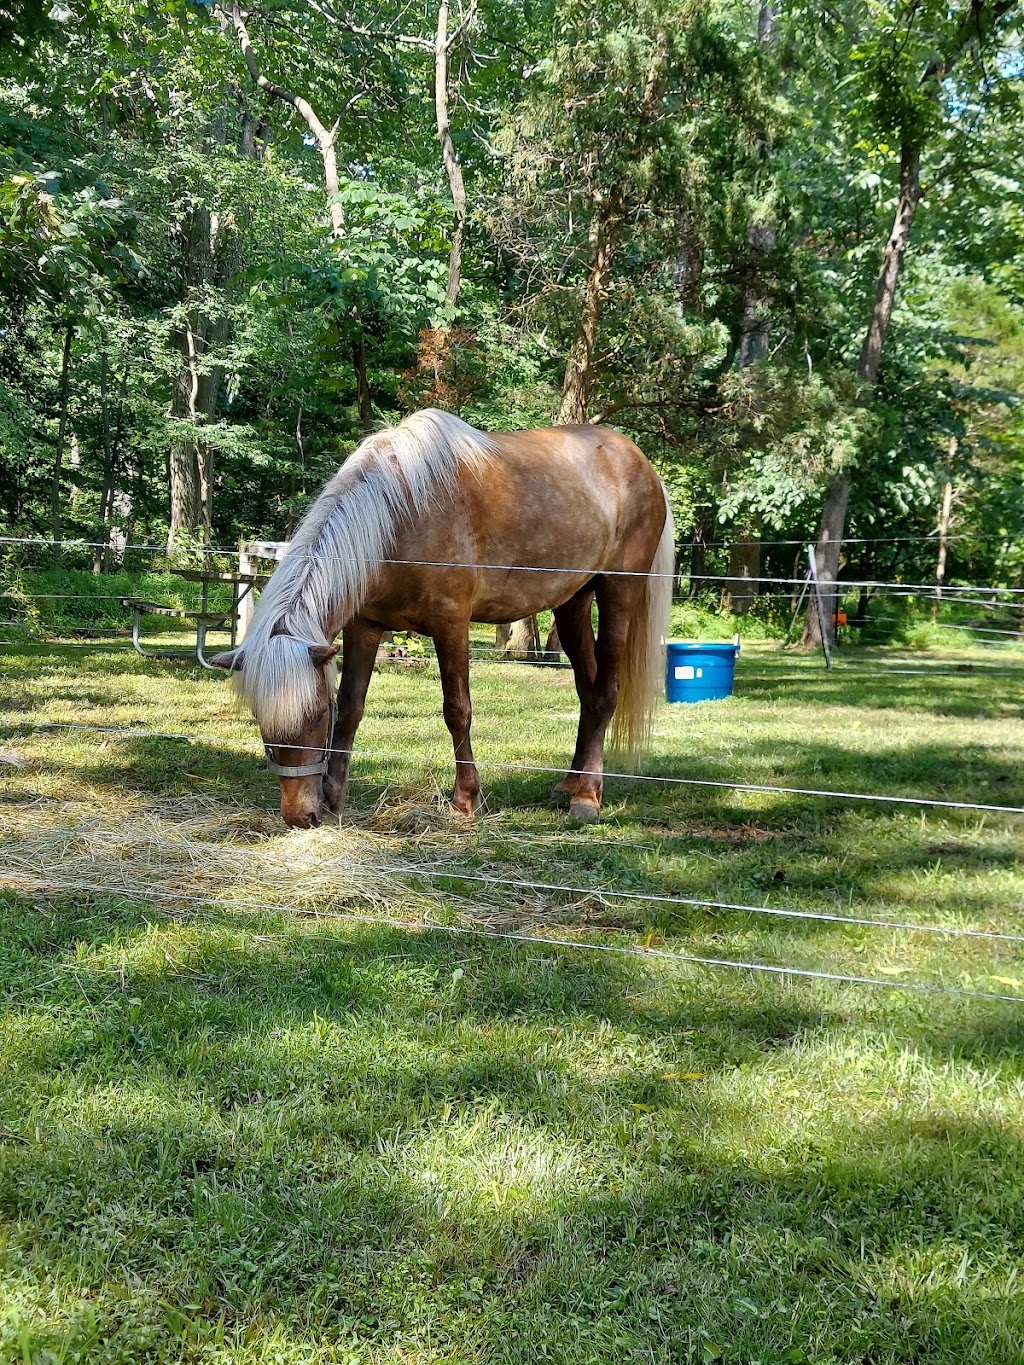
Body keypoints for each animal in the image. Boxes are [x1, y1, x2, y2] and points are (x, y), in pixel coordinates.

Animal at [210, 404, 674, 824]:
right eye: (260, 719)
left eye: (315, 713)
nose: (299, 815)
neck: (399, 514)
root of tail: (641, 464)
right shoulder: (365, 627)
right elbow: (353, 708)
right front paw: (333, 798)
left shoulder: (451, 625)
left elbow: (457, 709)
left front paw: (465, 800)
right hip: (571, 603)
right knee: (588, 692)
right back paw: (569, 784)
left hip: (618, 592)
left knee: (607, 690)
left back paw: (587, 797)